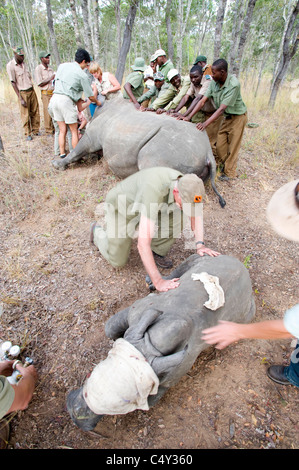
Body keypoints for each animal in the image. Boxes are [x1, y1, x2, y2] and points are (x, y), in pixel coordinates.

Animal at [67, 253, 255, 430]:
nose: (75, 415)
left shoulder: (173, 373)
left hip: (246, 314)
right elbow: (109, 328)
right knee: (192, 261)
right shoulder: (137, 312)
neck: (150, 346)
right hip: (209, 259)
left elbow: (151, 401)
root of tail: (242, 267)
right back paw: (161, 282)